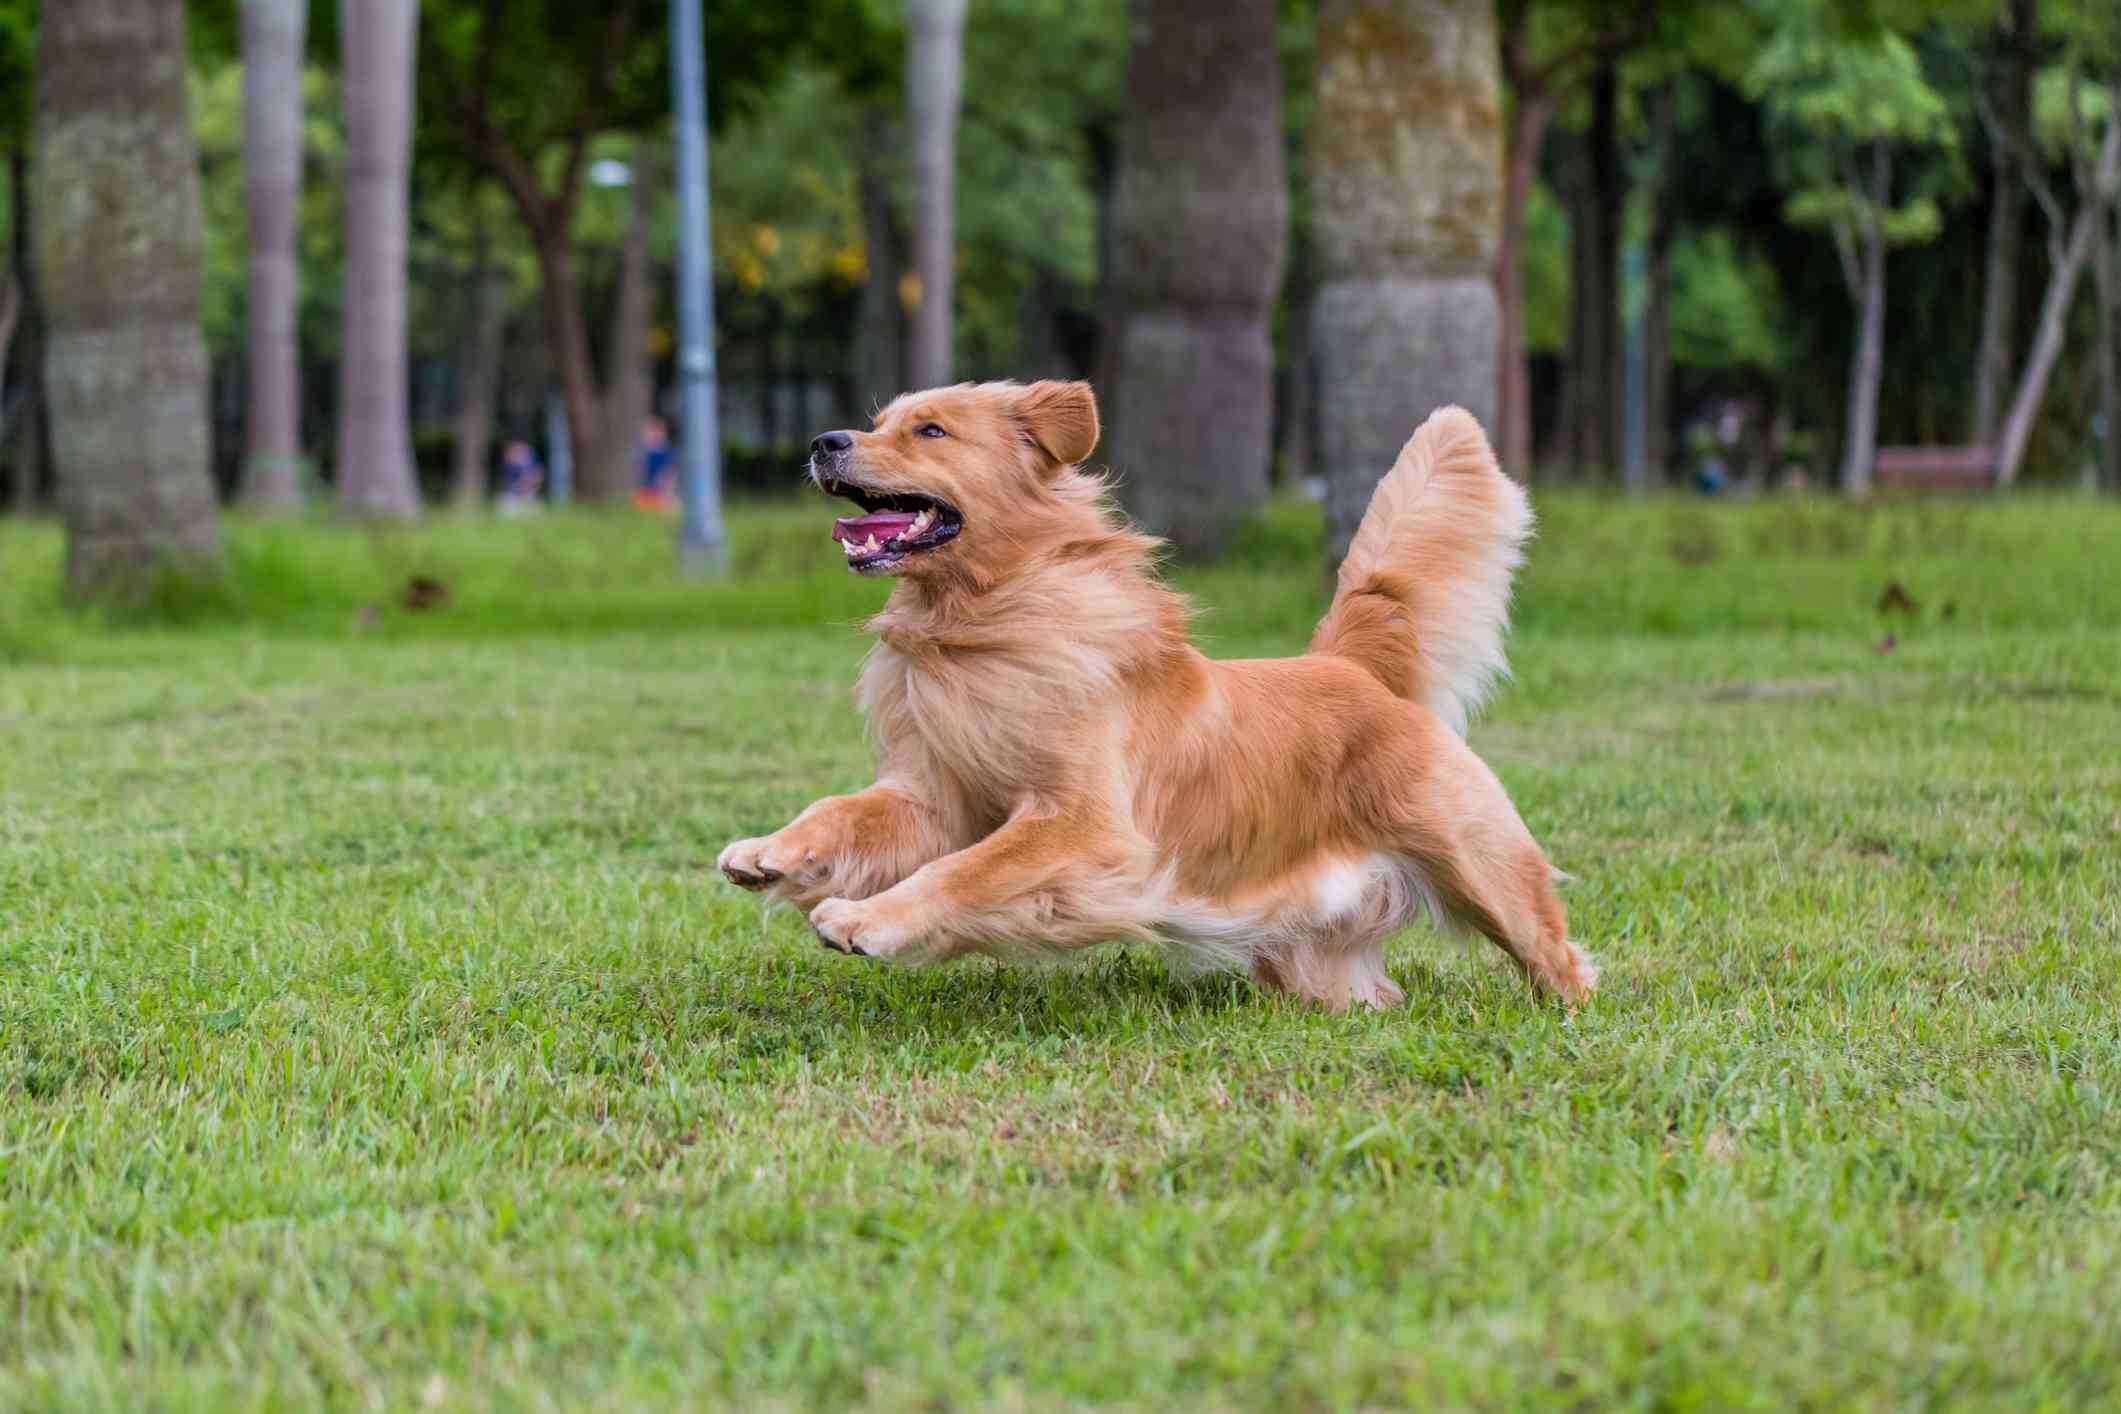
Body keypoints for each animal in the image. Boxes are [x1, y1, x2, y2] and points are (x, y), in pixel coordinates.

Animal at [712, 381, 1594, 1013]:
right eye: (877, 421)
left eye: (930, 431)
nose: (823, 441)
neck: (984, 623)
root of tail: (1351, 667)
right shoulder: (938, 796)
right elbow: (844, 810)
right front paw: (770, 851)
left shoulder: (1084, 829)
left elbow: (960, 873)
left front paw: (864, 920)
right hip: (1315, 949)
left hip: (1480, 862)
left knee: (1554, 953)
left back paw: (1576, 1012)